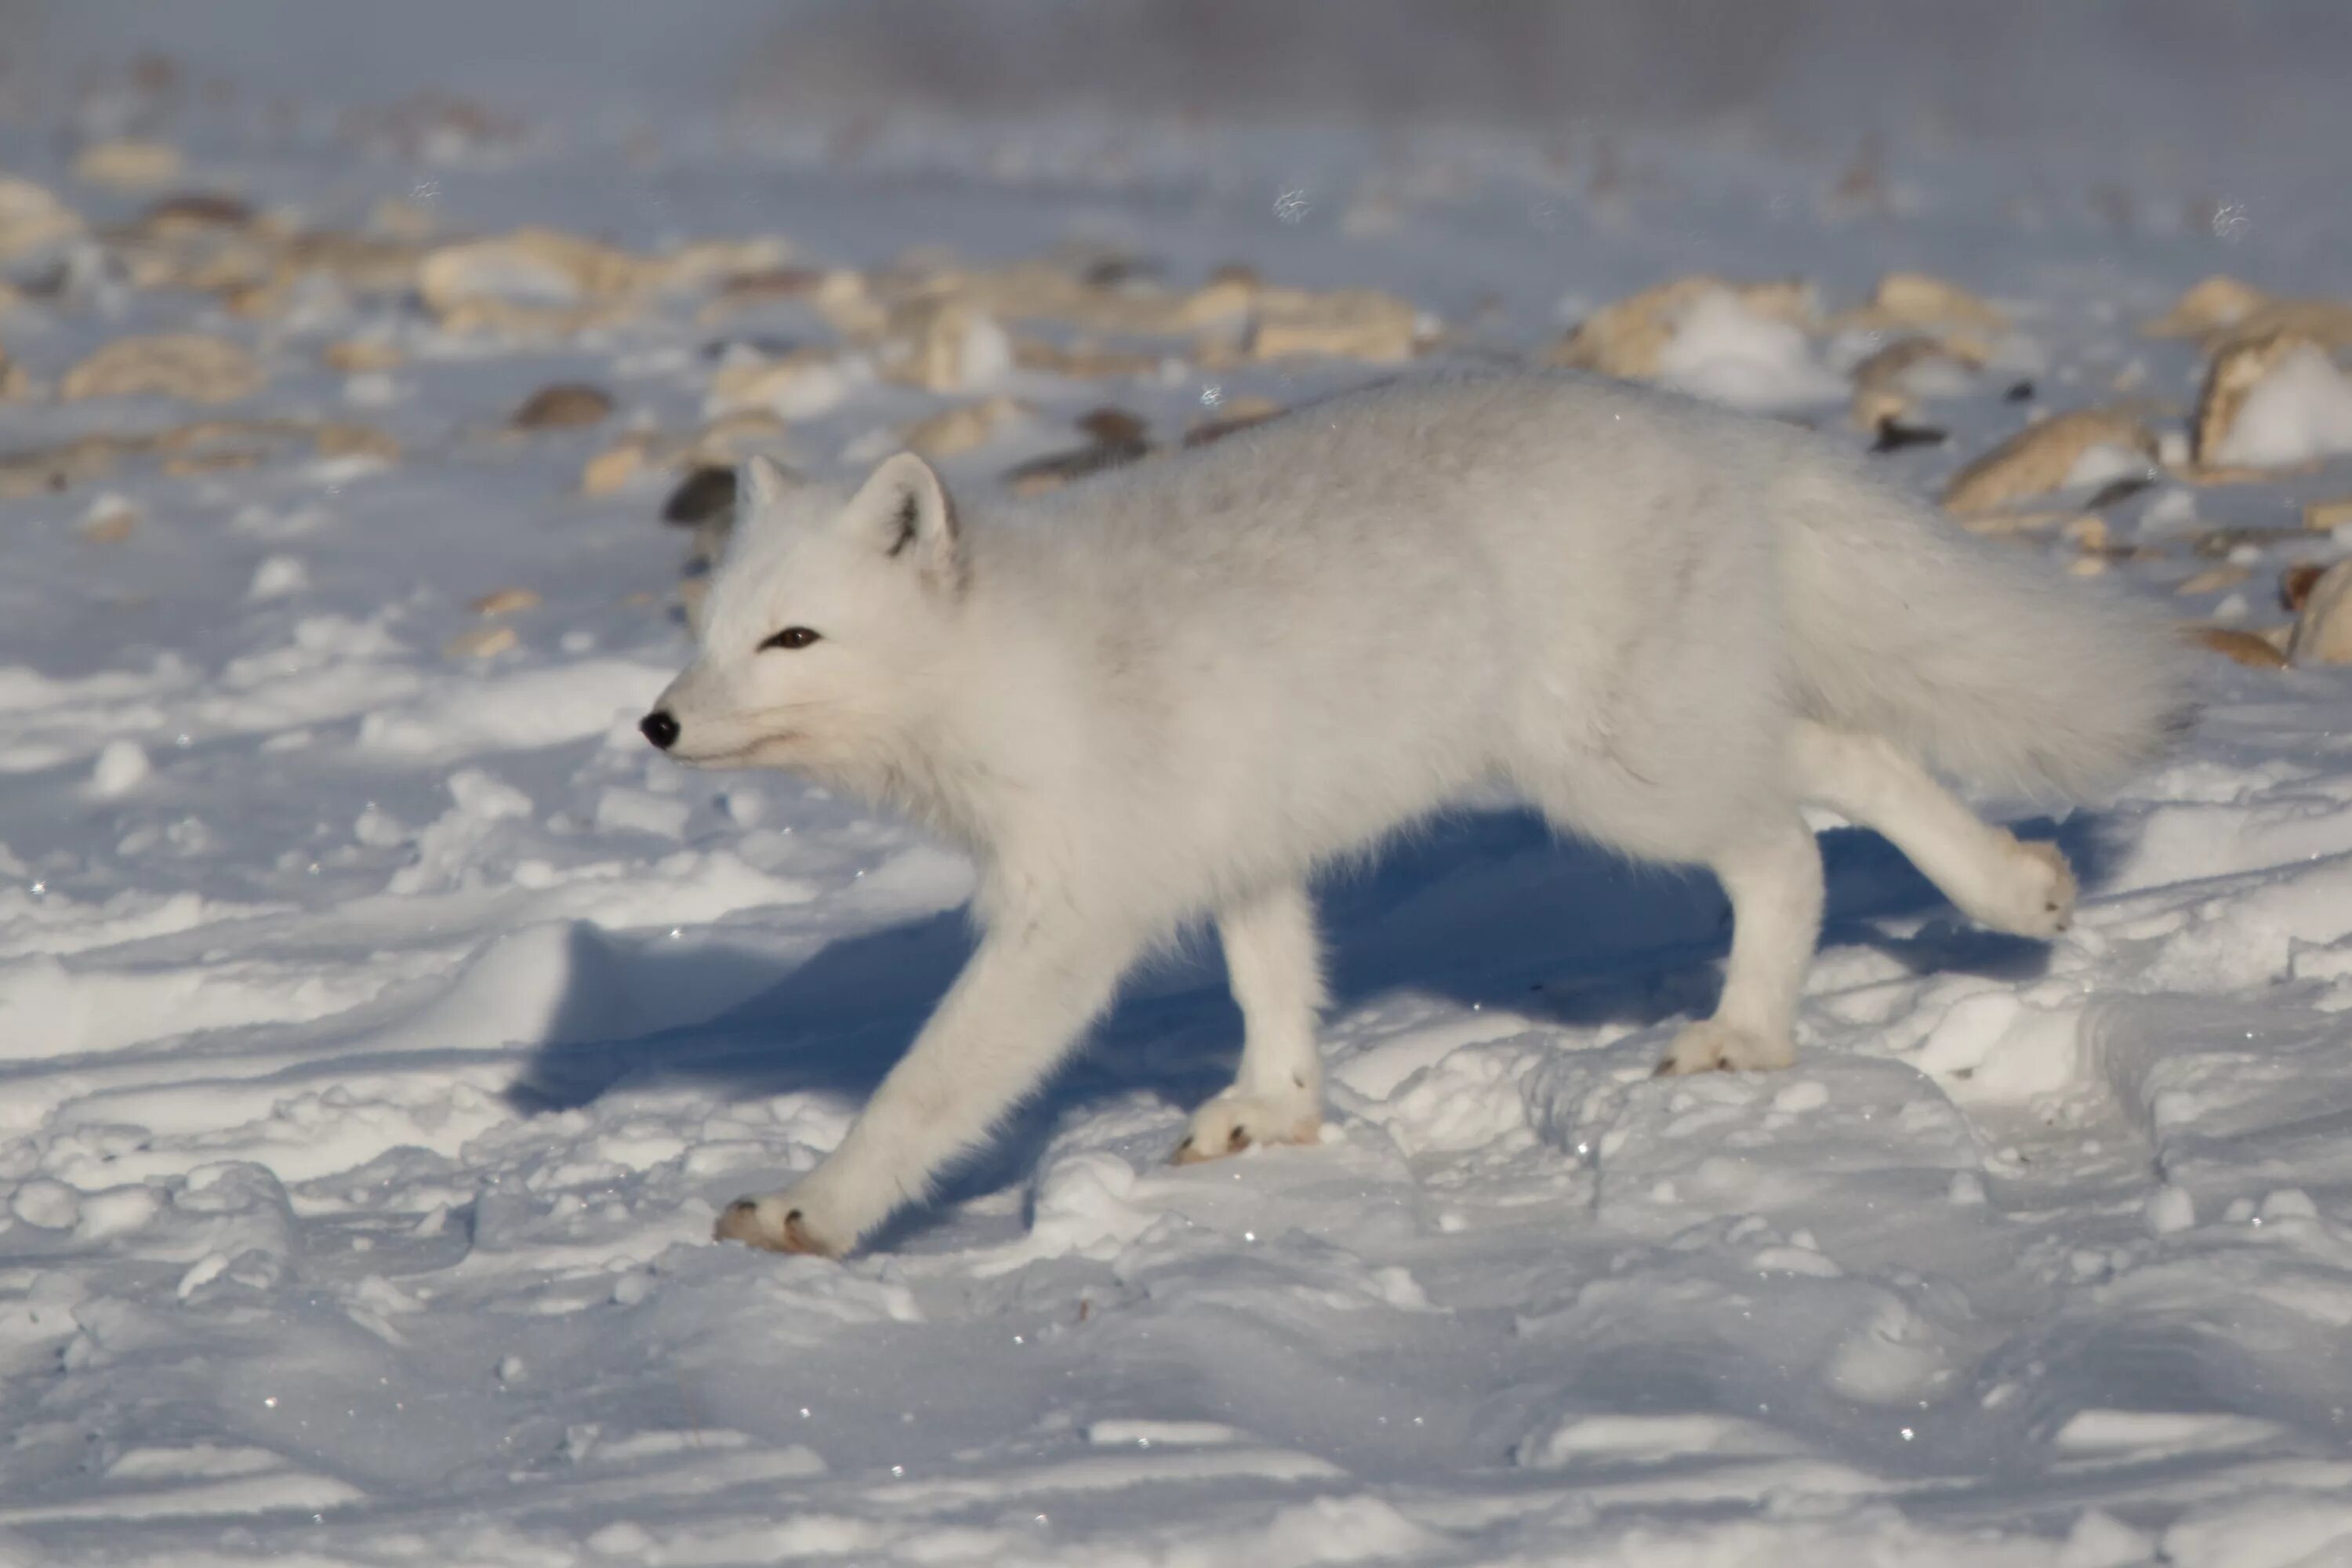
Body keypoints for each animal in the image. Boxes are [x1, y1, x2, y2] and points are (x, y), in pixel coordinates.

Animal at [640, 371, 2183, 1260]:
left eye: (794, 639)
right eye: (709, 634)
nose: (655, 724)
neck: (1004, 669)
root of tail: (1713, 425)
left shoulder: (1068, 917)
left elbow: (927, 1085)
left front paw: (813, 1211)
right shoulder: (1238, 852)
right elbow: (1275, 987)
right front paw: (1276, 1116)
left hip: (1616, 777)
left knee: (1790, 845)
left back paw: (1749, 1033)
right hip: (1660, 736)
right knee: (1852, 756)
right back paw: (2017, 887)